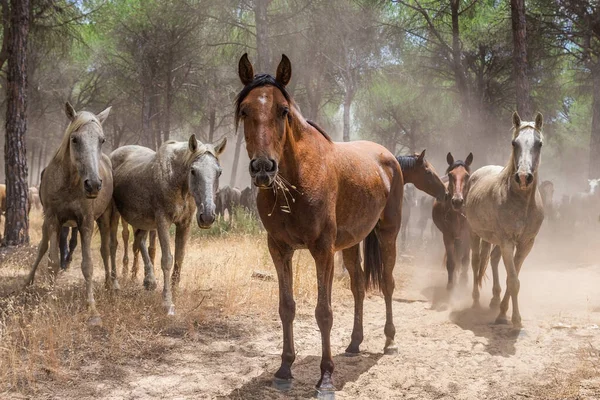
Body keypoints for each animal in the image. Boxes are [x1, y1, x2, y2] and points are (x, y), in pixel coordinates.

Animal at [25, 103, 116, 324]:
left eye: (102, 140)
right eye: (74, 139)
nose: (93, 185)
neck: (69, 184)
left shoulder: (86, 222)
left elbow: (88, 265)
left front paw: (92, 307)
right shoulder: (52, 219)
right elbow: (52, 262)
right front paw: (49, 300)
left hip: (104, 219)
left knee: (106, 250)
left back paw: (109, 284)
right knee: (42, 248)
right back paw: (28, 281)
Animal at [108, 136, 225, 314]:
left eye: (219, 172)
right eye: (193, 171)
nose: (207, 216)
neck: (178, 182)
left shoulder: (184, 224)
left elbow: (179, 257)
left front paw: (174, 293)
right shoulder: (163, 221)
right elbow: (167, 260)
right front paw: (167, 302)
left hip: (144, 221)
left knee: (139, 241)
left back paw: (149, 280)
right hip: (115, 213)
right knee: (114, 244)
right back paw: (114, 284)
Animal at [237, 54, 406, 394]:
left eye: (283, 110)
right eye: (245, 110)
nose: (263, 168)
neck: (296, 182)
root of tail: (388, 156)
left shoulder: (322, 250)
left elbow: (323, 312)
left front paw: (326, 377)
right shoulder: (279, 249)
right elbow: (287, 307)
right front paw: (284, 370)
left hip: (388, 233)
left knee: (387, 283)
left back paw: (390, 342)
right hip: (352, 243)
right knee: (358, 286)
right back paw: (354, 344)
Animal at [432, 152, 474, 290]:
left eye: (466, 175)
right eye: (450, 175)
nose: (457, 201)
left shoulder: (467, 235)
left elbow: (465, 260)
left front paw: (463, 283)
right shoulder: (448, 235)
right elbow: (451, 262)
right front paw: (451, 284)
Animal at [466, 111, 548, 326]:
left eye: (539, 143)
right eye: (514, 143)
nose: (523, 177)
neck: (521, 202)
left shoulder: (525, 244)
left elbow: (514, 279)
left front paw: (503, 311)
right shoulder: (507, 242)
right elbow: (513, 281)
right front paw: (514, 319)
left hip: (494, 240)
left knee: (493, 260)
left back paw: (494, 300)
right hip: (474, 233)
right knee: (476, 262)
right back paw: (475, 301)